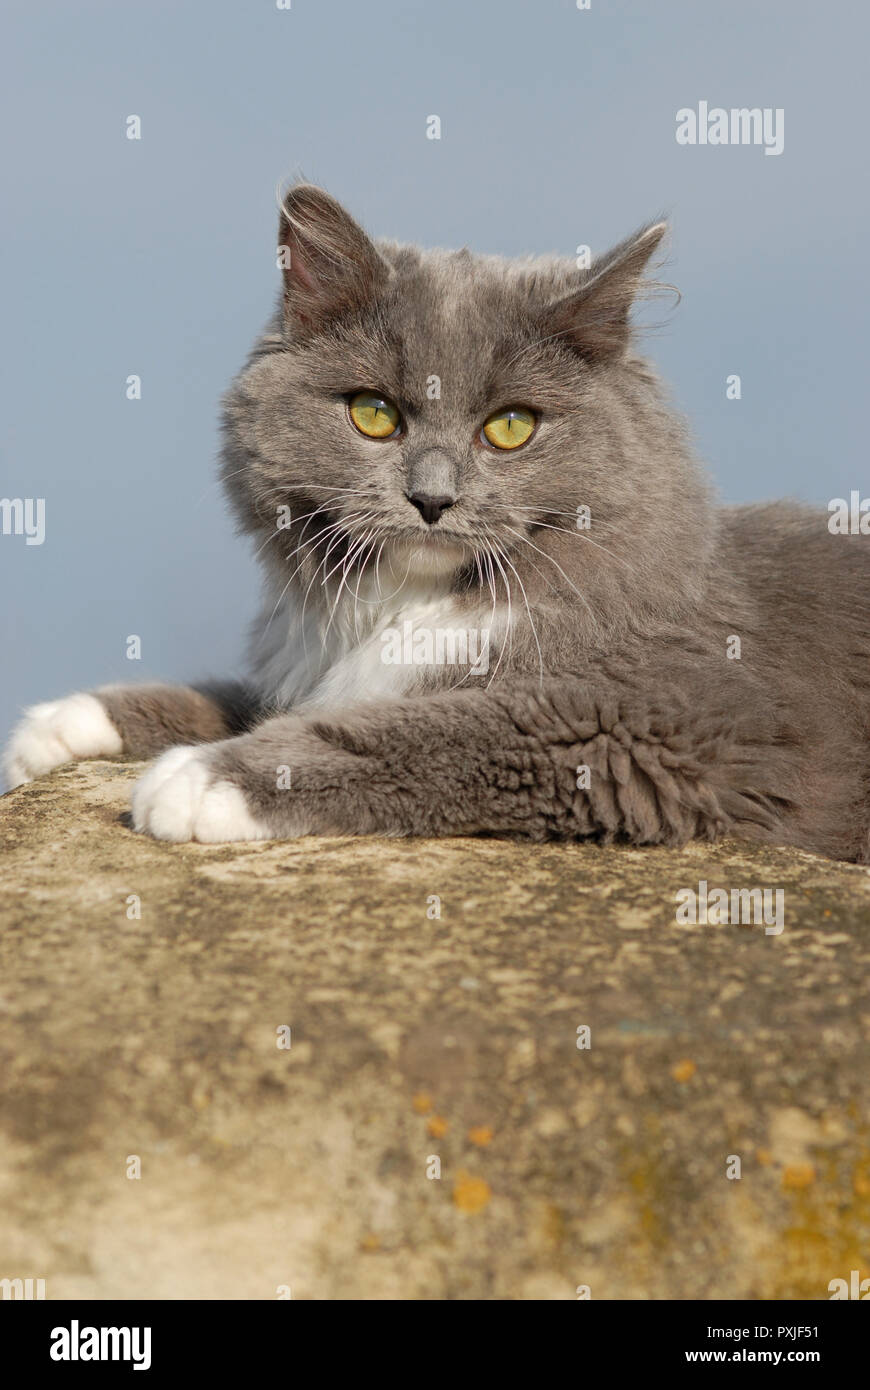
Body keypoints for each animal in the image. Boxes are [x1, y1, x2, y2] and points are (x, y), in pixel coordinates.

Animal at [6, 184, 867, 856]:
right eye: (374, 414)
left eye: (511, 427)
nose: (432, 498)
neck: (411, 606)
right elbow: (237, 694)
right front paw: (60, 728)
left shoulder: (658, 716)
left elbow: (430, 727)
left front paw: (207, 776)